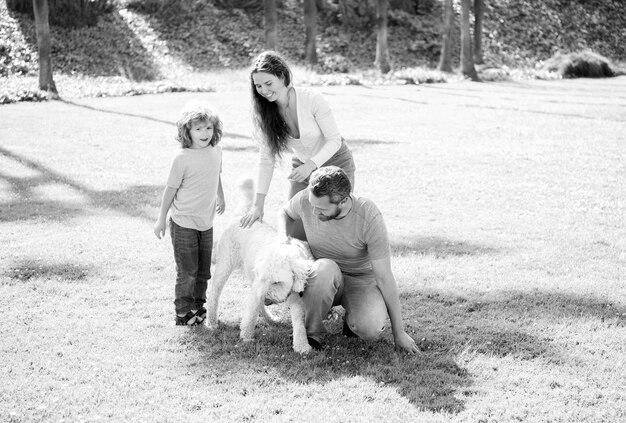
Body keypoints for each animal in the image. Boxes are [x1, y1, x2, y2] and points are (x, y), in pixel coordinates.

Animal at [207, 181, 314, 354]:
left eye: (277, 282)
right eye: (265, 278)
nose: (264, 296)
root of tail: (241, 216)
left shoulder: (296, 297)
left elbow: (298, 322)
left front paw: (302, 346)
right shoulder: (258, 287)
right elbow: (251, 313)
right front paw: (246, 337)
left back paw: (271, 319)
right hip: (225, 264)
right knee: (214, 293)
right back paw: (211, 322)